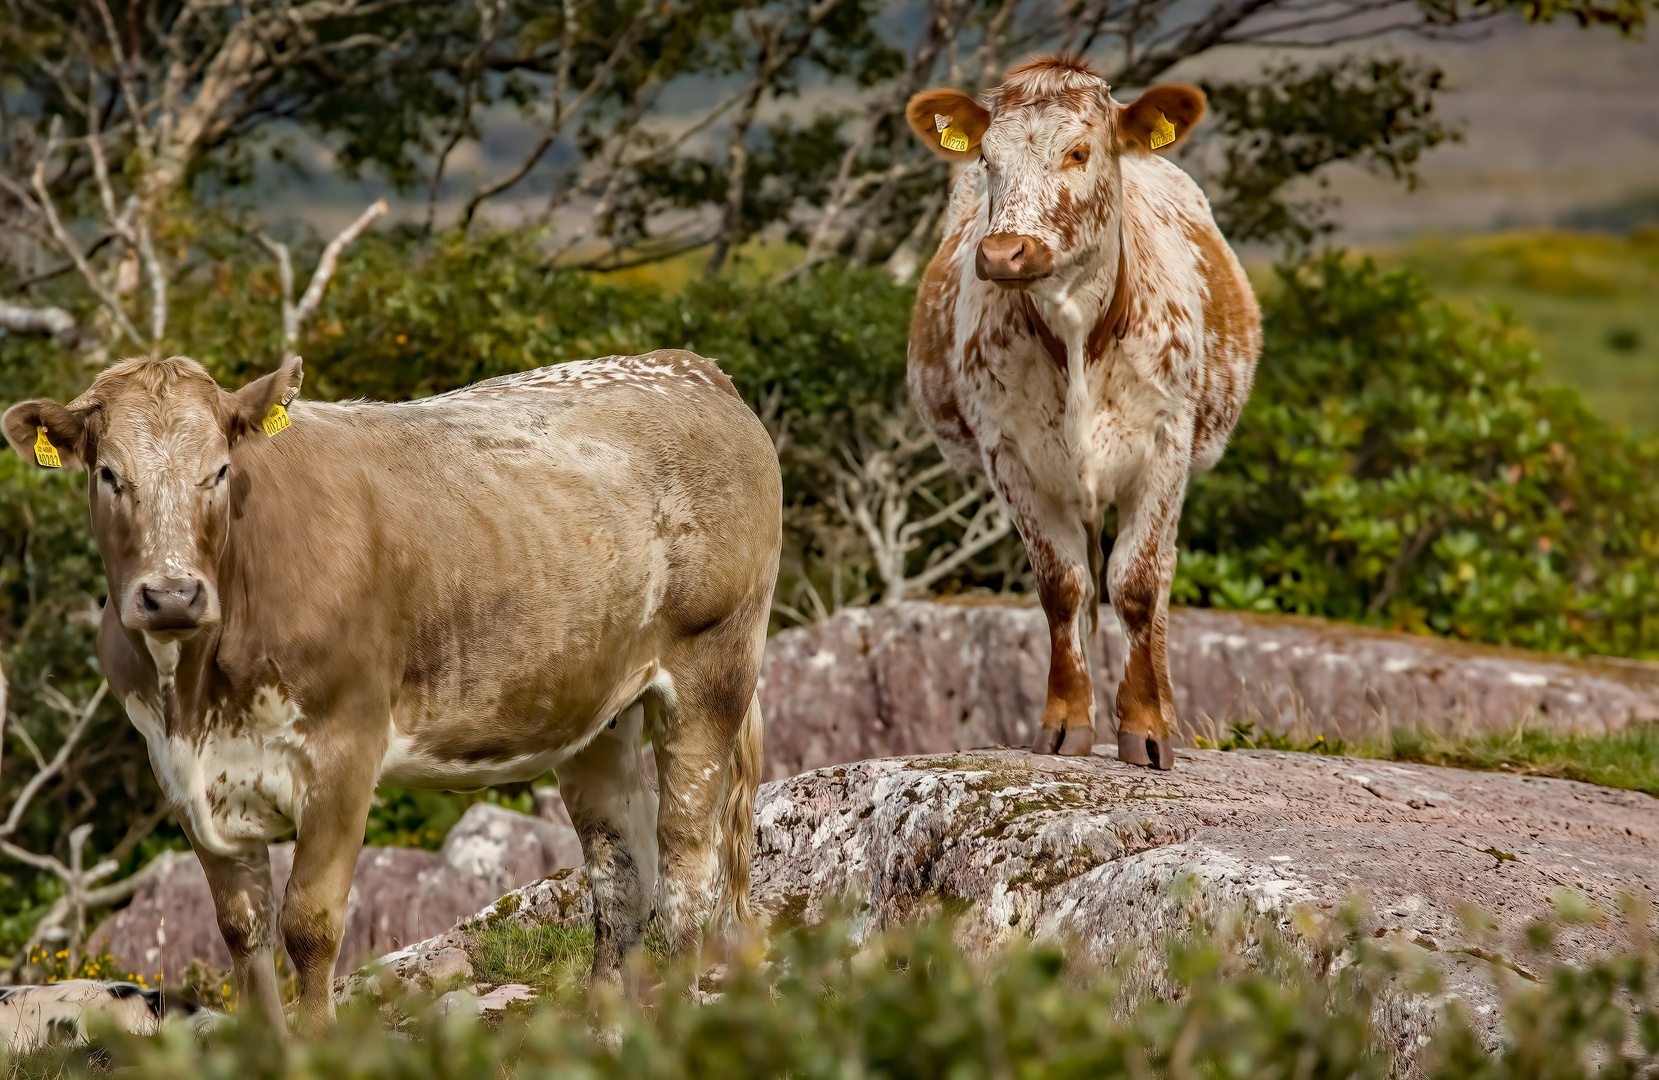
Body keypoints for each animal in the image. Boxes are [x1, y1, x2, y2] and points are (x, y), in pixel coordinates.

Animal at [3, 350, 779, 1035]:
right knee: (621, 875)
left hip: (714, 666)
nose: (170, 595)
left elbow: (309, 926)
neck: (196, 693)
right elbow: (243, 931)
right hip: (594, 714)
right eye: (109, 474)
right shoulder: (181, 771)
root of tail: (691, 369)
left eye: (218, 471)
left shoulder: (346, 747)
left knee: (689, 863)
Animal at [909, 57, 1254, 769]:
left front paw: (1146, 727)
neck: (1074, 335)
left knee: (1160, 576)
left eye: (1078, 152)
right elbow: (1062, 585)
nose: (1004, 252)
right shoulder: (1007, 455)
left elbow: (1138, 584)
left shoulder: (1166, 444)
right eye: (986, 157)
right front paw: (1068, 721)